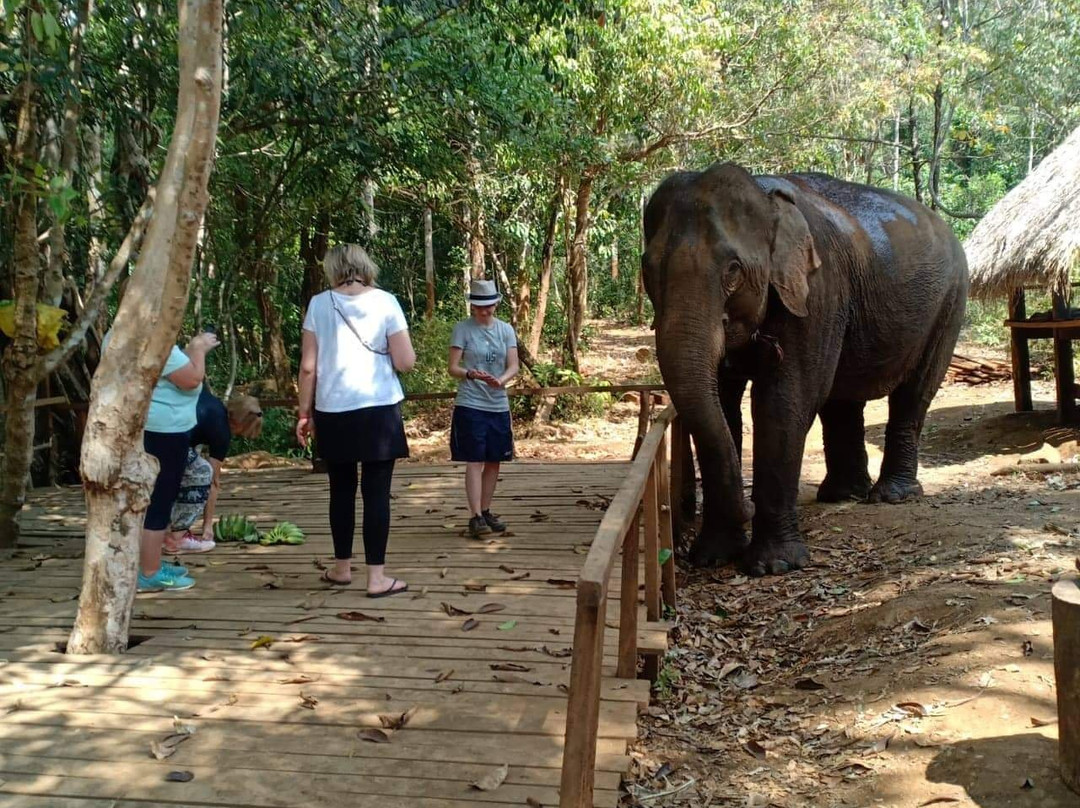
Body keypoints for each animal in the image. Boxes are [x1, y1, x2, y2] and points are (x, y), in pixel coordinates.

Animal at [639, 162, 972, 574]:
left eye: (733, 270)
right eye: (647, 269)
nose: (745, 506)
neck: (765, 194)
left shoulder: (818, 290)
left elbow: (784, 402)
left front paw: (772, 567)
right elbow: (724, 405)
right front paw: (713, 557)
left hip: (950, 303)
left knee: (915, 392)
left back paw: (892, 495)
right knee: (842, 400)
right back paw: (843, 495)